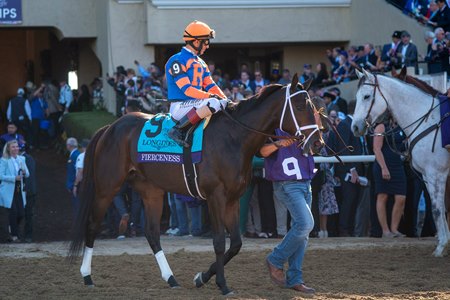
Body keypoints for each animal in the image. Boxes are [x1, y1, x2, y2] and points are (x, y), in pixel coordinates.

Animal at [68, 75, 324, 296]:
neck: (234, 138)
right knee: (92, 225)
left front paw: (203, 277)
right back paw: (87, 276)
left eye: (313, 106)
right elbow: (219, 241)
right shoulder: (215, 197)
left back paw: (171, 279)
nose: (318, 143)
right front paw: (222, 285)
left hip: (152, 191)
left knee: (152, 233)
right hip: (107, 188)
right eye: (300, 106)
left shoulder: (233, 199)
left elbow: (236, 244)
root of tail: (111, 127)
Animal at [354, 69, 448, 256]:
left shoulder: (436, 173)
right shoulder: (428, 176)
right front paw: (444, 241)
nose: (355, 127)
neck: (428, 120)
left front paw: (441, 246)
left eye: (367, 96)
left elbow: (437, 209)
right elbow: (440, 208)